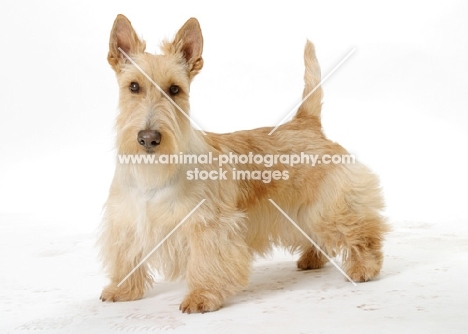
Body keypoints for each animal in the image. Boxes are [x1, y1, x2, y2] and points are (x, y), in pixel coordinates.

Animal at [98, 15, 388, 314]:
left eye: (174, 89)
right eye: (133, 86)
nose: (149, 138)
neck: (153, 172)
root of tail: (306, 123)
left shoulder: (208, 225)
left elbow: (206, 262)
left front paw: (201, 296)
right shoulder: (126, 222)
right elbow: (126, 260)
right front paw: (122, 290)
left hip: (333, 205)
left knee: (362, 231)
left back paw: (365, 267)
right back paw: (312, 258)